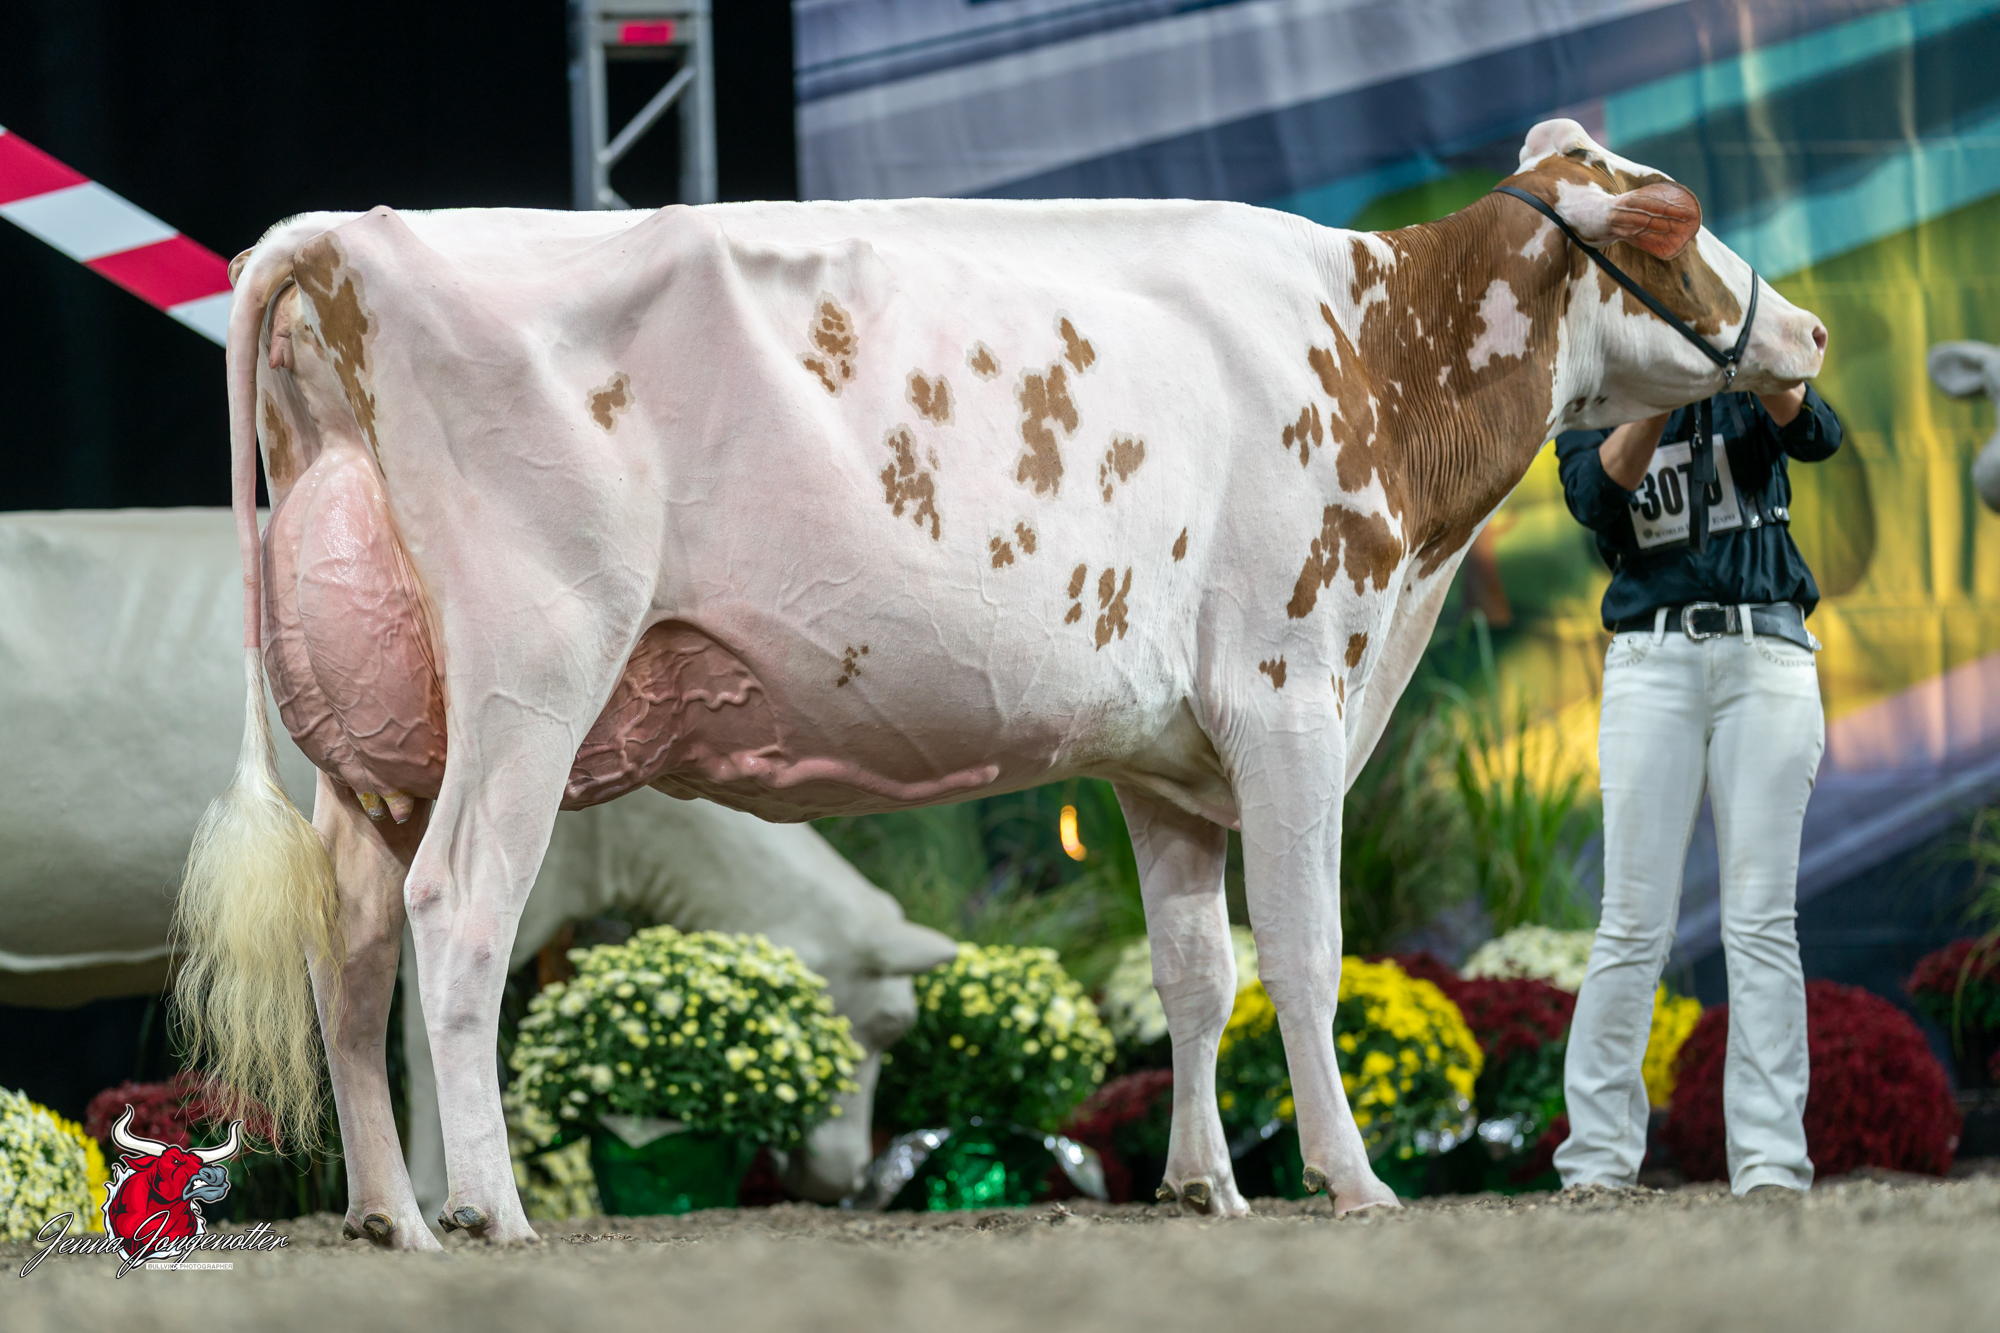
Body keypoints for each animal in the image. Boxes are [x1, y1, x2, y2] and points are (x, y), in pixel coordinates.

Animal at [181, 117, 1826, 1244]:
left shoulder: (1168, 761)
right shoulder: (1289, 691)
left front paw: (1201, 1183)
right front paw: (1349, 1178)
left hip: (381, 744)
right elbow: (1305, 952)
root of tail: (347, 236)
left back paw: (387, 1212)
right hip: (532, 675)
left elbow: (1195, 969)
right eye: (1676, 218)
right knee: (457, 912)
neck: (1374, 361)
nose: (1805, 330)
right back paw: (490, 1208)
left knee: (350, 946)